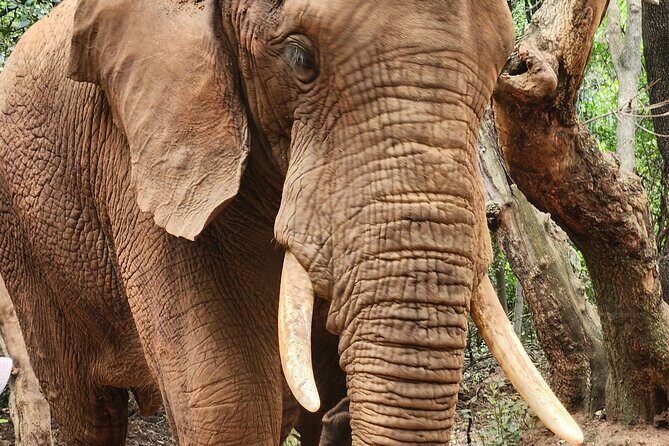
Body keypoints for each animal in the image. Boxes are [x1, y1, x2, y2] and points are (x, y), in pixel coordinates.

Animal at [0, 0, 584, 444]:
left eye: (503, 68)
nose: (343, 419)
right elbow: (229, 401)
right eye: (300, 58)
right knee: (83, 407)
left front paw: (336, 414)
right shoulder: (144, 155)